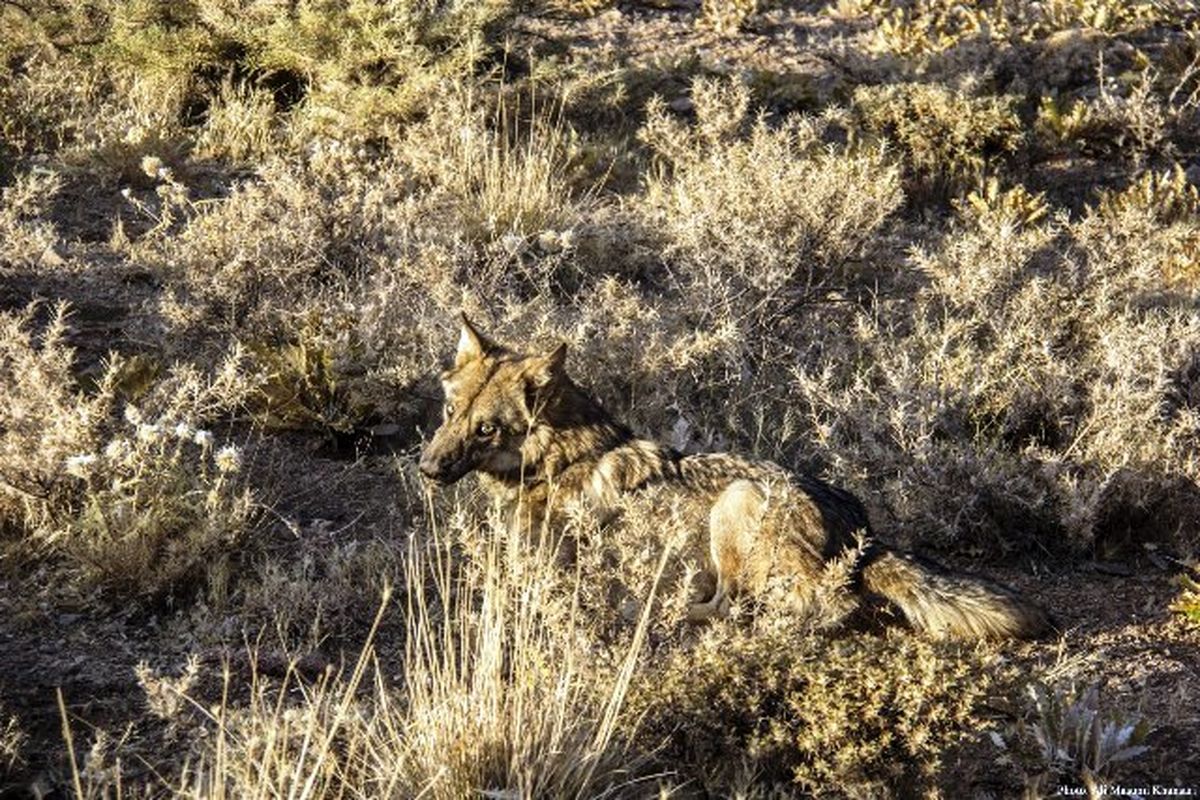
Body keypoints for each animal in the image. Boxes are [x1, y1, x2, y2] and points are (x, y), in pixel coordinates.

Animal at [417, 316, 1056, 642]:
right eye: (450, 414)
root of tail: (864, 531)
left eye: (486, 430)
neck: (561, 455)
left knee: (804, 606)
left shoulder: (540, 574)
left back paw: (661, 613)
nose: (427, 468)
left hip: (736, 506)